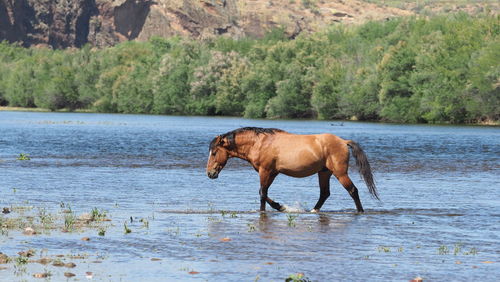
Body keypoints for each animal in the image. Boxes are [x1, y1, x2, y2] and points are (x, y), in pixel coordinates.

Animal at [205, 126, 376, 213]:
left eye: (214, 153)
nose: (210, 173)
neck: (260, 143)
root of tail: (343, 141)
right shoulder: (272, 173)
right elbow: (263, 193)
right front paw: (279, 206)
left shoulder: (265, 171)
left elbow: (262, 193)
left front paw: (276, 207)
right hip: (324, 172)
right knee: (324, 194)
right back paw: (313, 211)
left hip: (340, 173)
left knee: (353, 190)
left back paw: (360, 211)